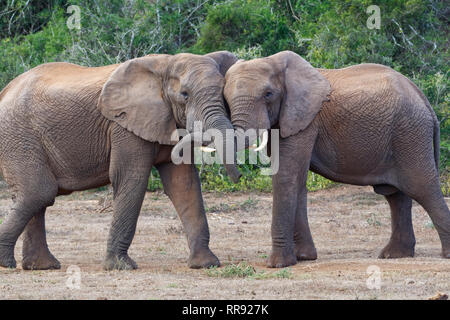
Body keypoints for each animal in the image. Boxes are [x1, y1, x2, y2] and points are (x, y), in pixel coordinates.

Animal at [0, 51, 243, 272]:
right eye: (185, 94)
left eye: (223, 93)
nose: (239, 177)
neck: (165, 66)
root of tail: (5, 91)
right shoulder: (123, 127)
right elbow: (131, 178)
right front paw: (120, 266)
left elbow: (184, 184)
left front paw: (206, 264)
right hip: (18, 135)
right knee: (39, 192)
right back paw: (9, 263)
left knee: (37, 197)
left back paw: (42, 266)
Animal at [221, 50, 450, 268]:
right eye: (225, 98)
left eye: (268, 94)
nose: (239, 176)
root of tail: (425, 101)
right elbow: (298, 181)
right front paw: (304, 257)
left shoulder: (305, 120)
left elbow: (286, 177)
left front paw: (278, 264)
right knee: (396, 196)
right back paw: (394, 255)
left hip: (410, 133)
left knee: (422, 187)